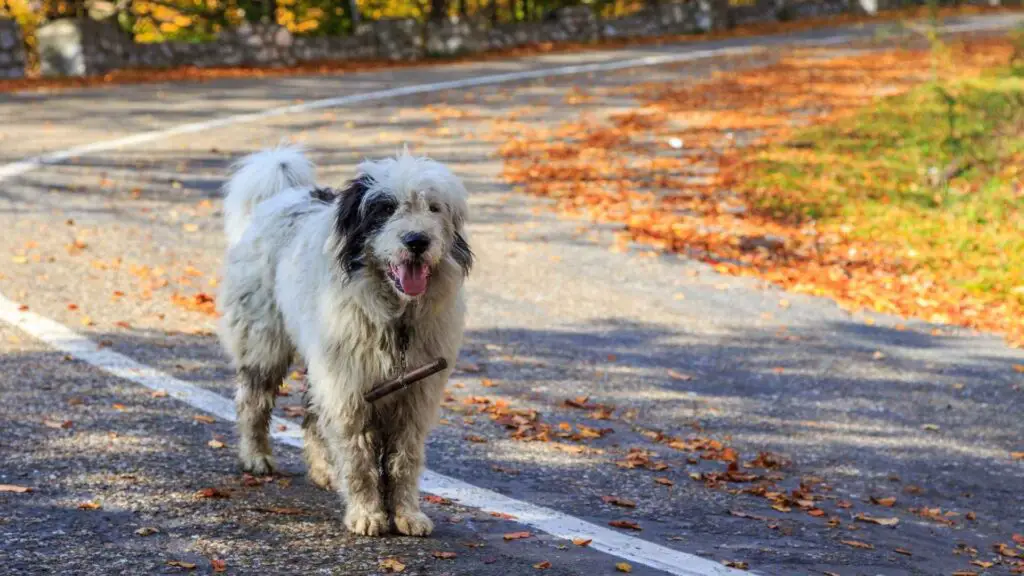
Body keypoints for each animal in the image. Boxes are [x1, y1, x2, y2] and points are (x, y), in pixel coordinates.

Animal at [218, 145, 473, 537]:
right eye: (386, 208)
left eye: (433, 207)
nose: (417, 241)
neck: (395, 318)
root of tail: (284, 195)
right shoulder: (348, 391)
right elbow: (358, 458)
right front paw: (367, 513)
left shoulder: (414, 397)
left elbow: (405, 460)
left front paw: (406, 513)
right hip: (264, 342)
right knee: (253, 402)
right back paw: (256, 456)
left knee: (311, 416)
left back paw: (324, 471)